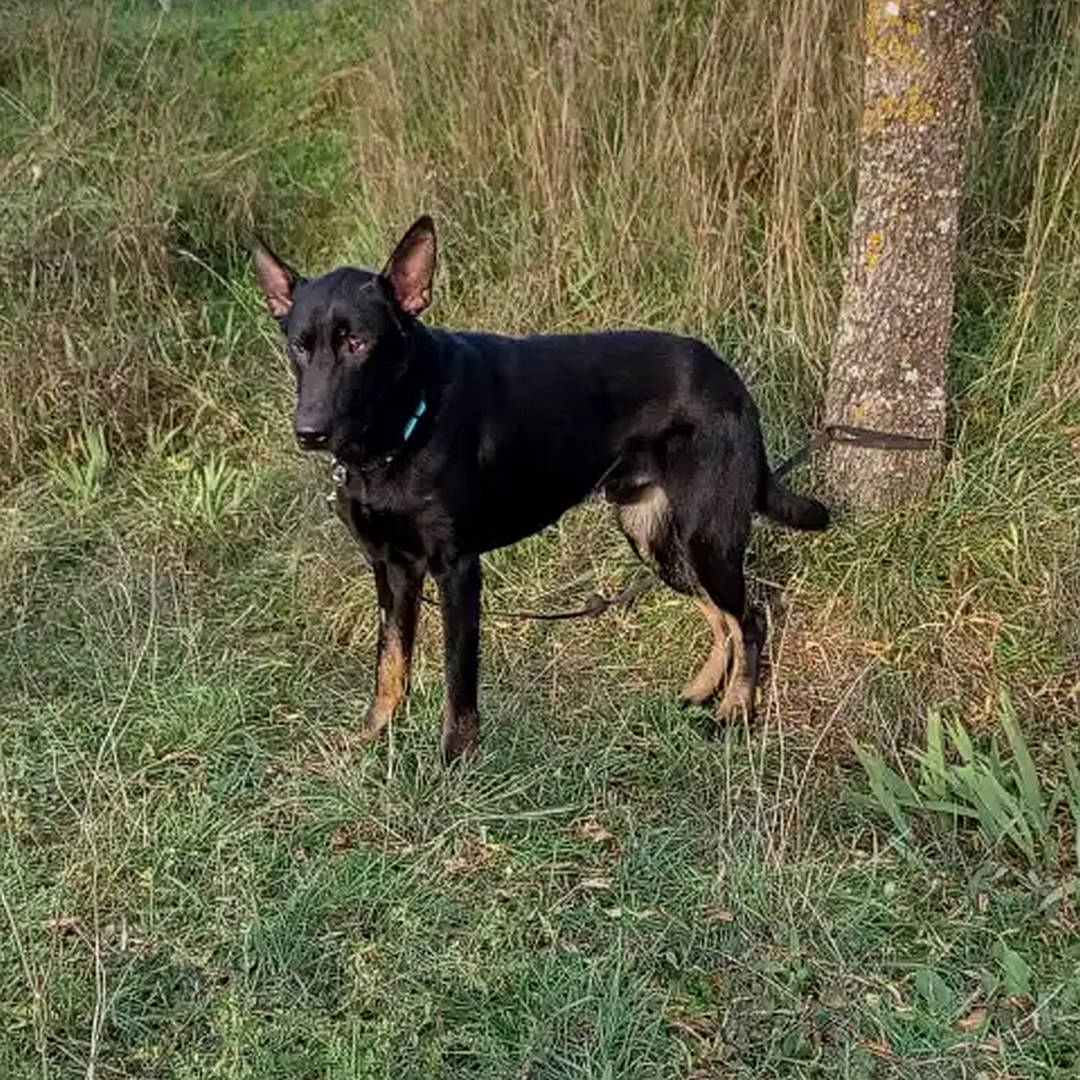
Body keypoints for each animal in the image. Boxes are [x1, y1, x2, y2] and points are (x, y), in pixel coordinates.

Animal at [254, 217, 825, 760]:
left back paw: (735, 711)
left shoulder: (457, 570)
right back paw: (703, 691)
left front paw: (454, 762)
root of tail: (731, 380)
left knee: (749, 619)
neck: (401, 429)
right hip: (656, 540)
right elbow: (390, 664)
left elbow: (458, 683)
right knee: (721, 618)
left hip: (704, 539)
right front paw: (373, 737)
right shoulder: (392, 570)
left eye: (358, 344)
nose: (309, 432)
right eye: (299, 347)